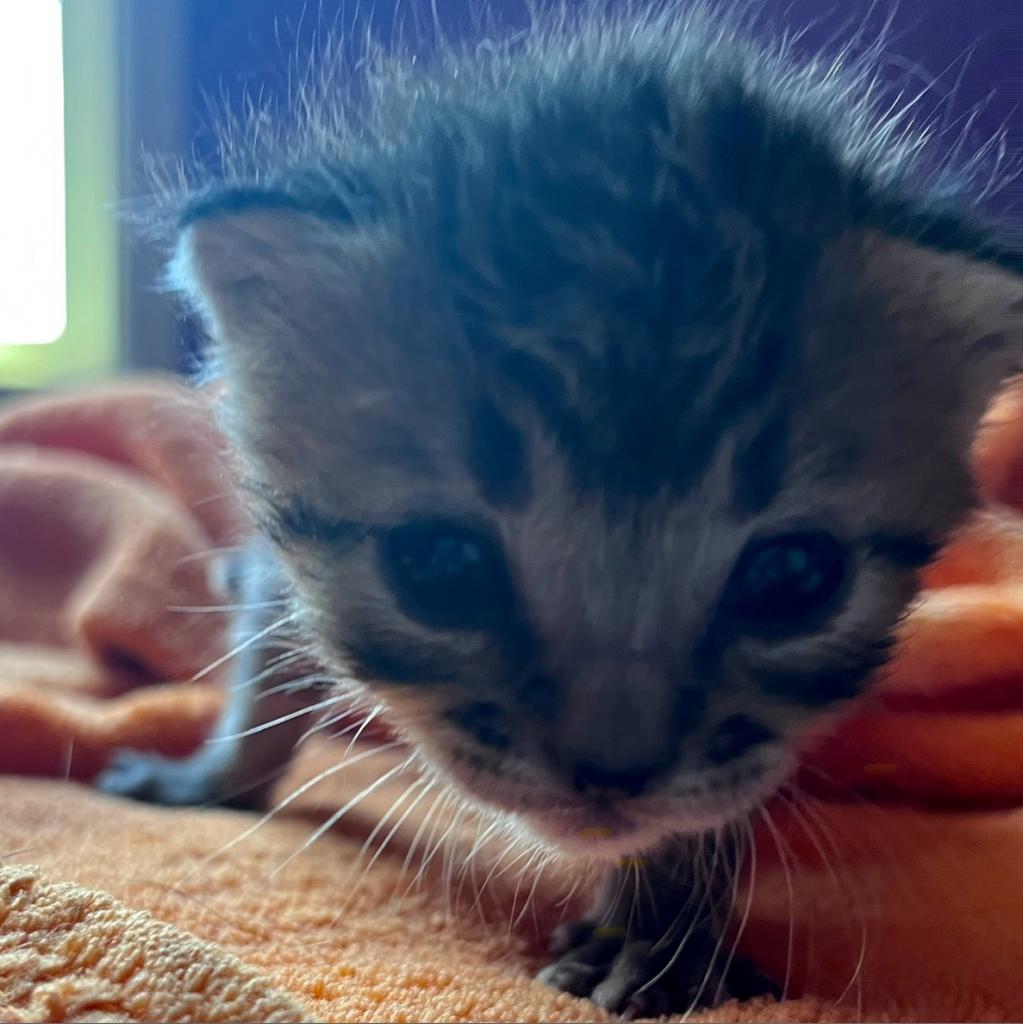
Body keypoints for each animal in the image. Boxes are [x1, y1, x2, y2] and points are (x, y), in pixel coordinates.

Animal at [97, 6, 1023, 1015]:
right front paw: (213, 777)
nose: (611, 774)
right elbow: (266, 657)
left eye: (790, 578)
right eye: (443, 566)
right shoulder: (284, 556)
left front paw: (660, 932)